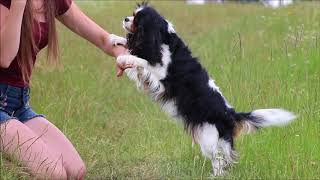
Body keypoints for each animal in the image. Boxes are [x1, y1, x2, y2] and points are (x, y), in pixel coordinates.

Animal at [109, 1, 296, 176]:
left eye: (136, 20)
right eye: (132, 14)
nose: (125, 19)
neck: (163, 37)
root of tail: (230, 114)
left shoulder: (161, 76)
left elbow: (141, 60)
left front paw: (125, 57)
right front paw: (114, 38)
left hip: (209, 136)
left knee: (220, 158)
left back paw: (216, 175)